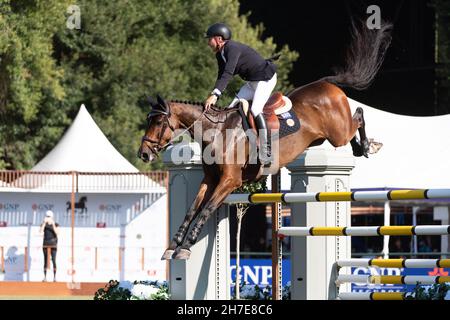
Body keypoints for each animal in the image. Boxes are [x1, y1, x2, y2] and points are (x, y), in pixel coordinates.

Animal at [139, 20, 392, 260]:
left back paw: (369, 145)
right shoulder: (210, 179)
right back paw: (363, 147)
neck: (217, 131)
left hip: (338, 134)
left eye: (158, 122)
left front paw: (186, 247)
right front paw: (172, 246)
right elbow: (192, 209)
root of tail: (327, 85)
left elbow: (206, 209)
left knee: (358, 115)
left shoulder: (229, 181)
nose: (143, 153)